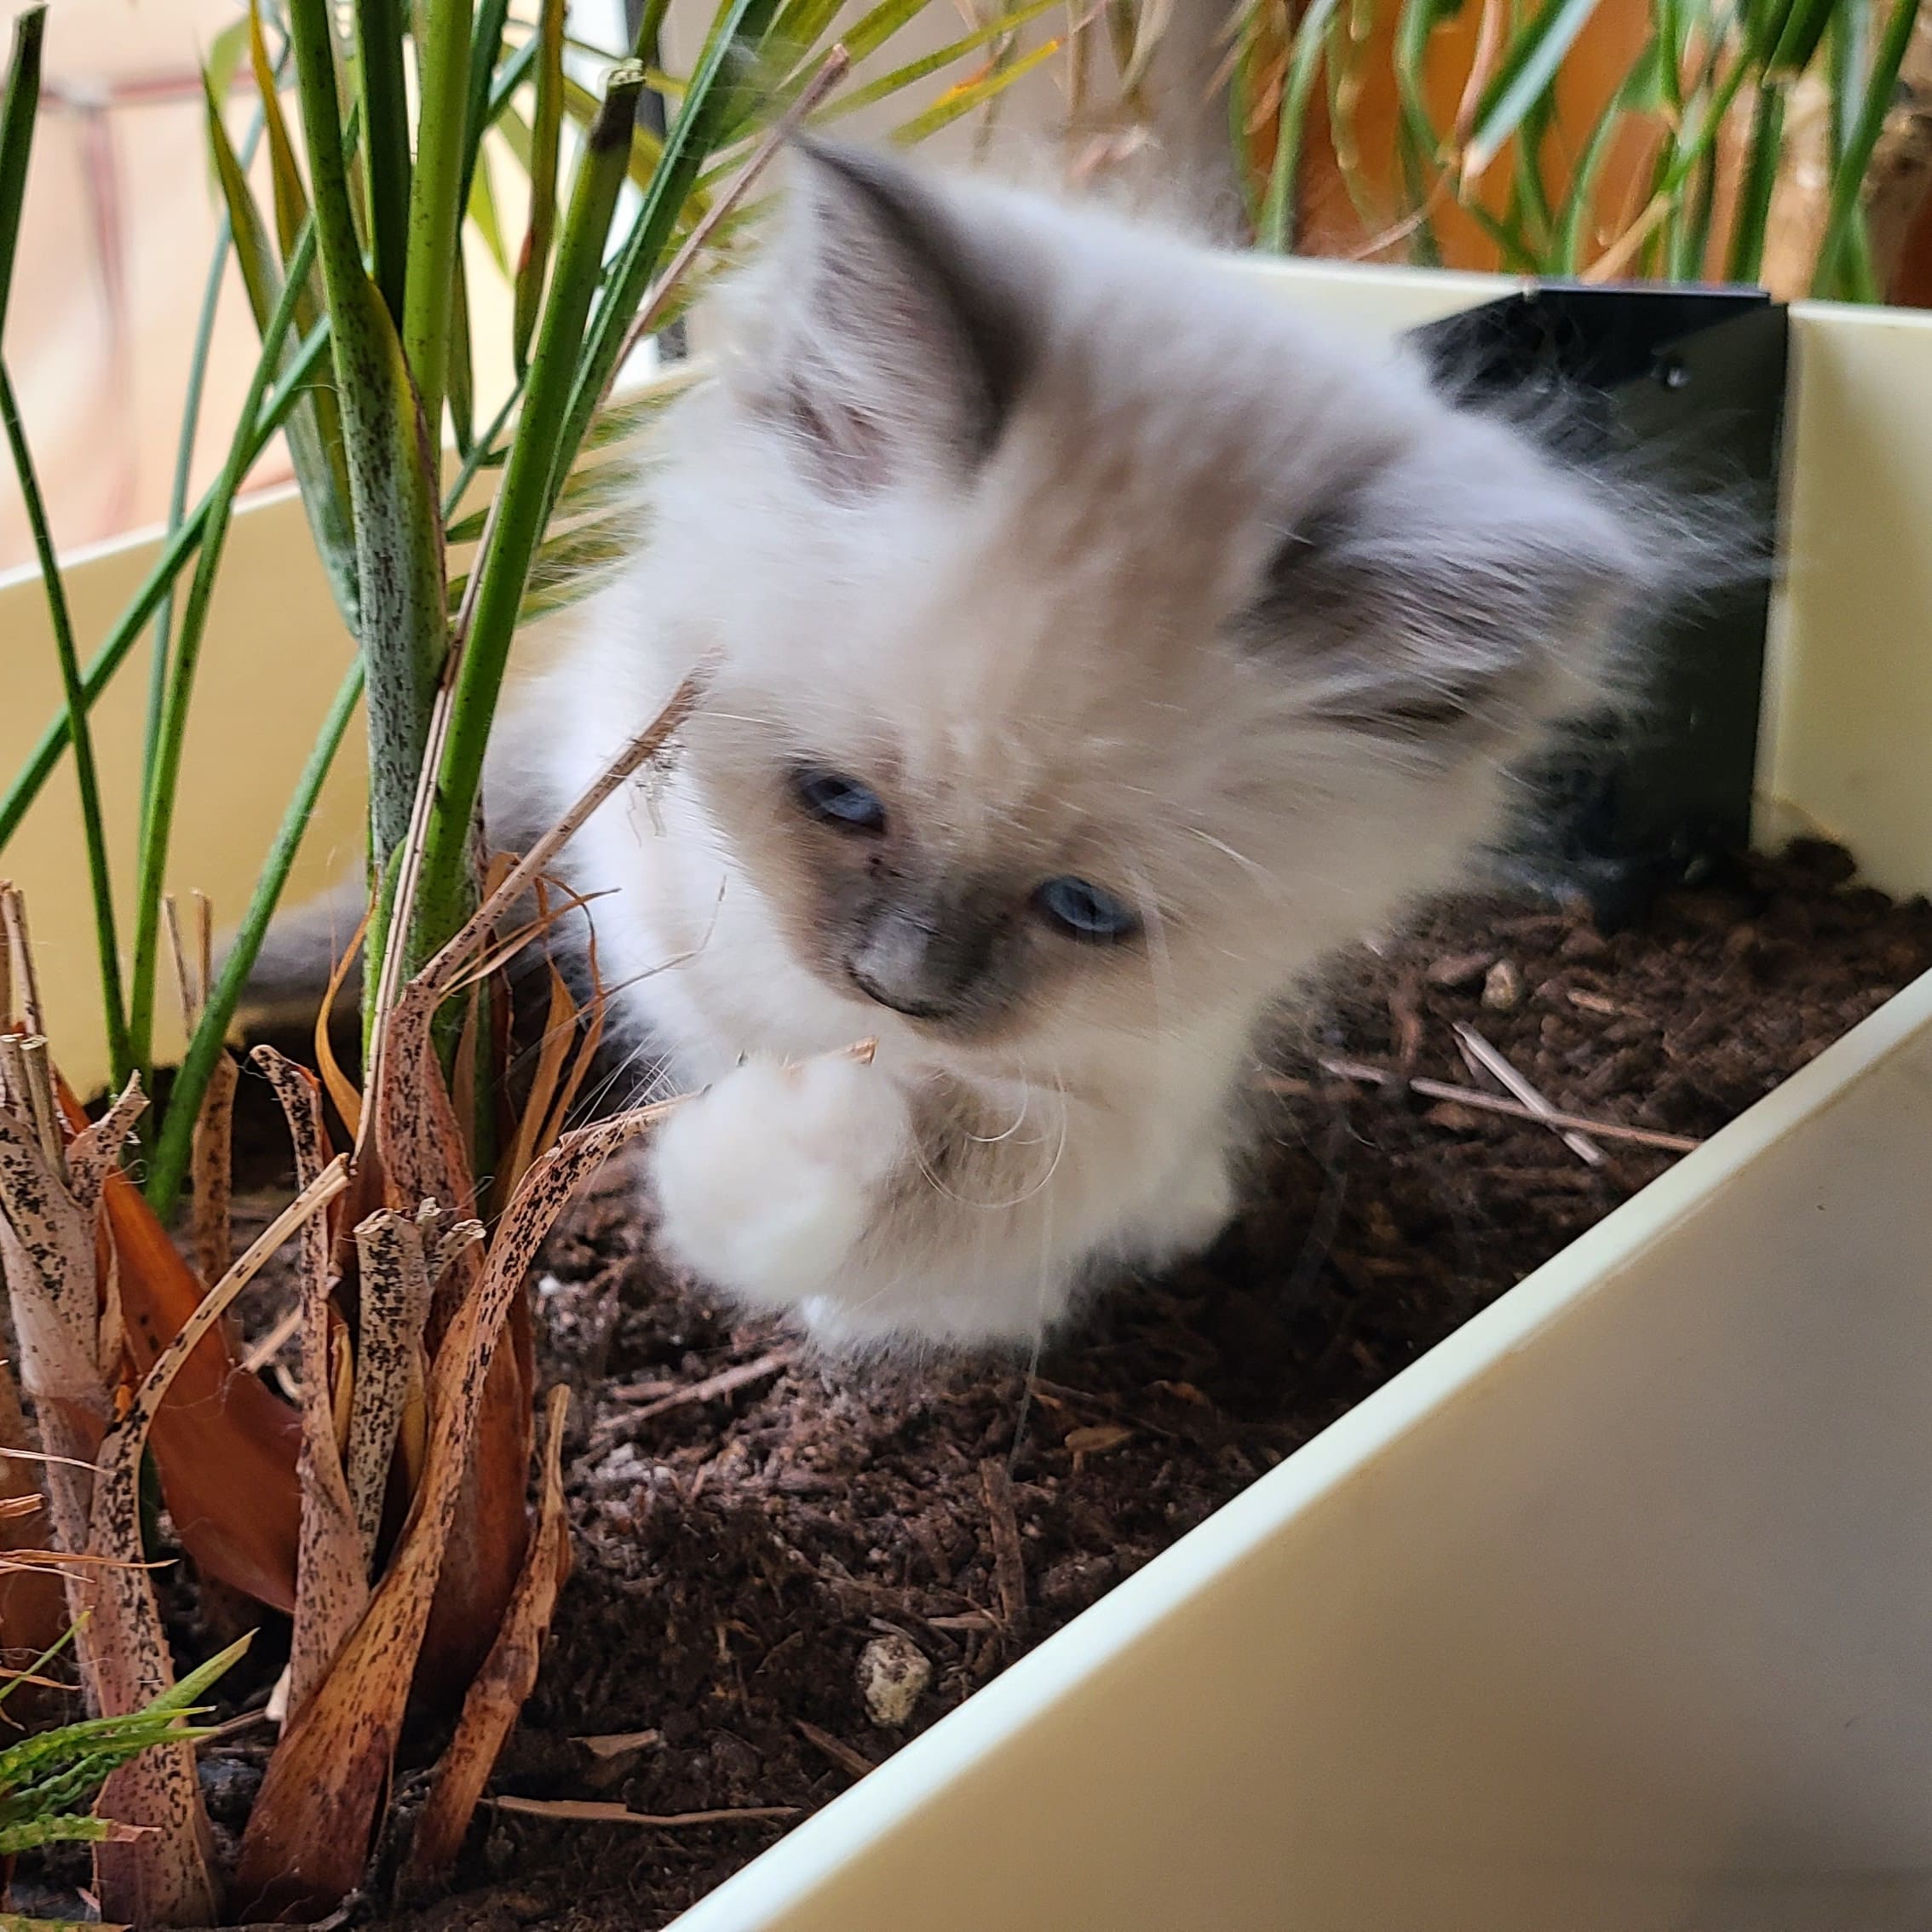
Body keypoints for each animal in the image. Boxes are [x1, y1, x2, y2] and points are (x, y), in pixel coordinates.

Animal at [498, 142, 1661, 1352]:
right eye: (841, 801)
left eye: (1086, 910)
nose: (895, 993)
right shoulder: (651, 899)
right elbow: (725, 1033)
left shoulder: (1138, 1085)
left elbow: (967, 1183)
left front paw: (810, 1151)